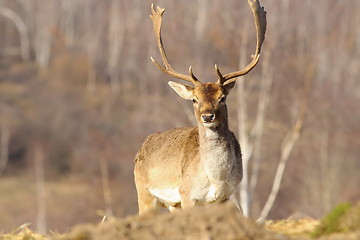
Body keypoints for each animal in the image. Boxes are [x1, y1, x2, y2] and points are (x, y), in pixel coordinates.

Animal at [134, 0, 266, 214]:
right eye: (194, 100)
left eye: (222, 98)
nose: (207, 116)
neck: (216, 179)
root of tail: (144, 144)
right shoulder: (187, 193)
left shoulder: (226, 196)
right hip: (144, 191)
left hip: (172, 204)